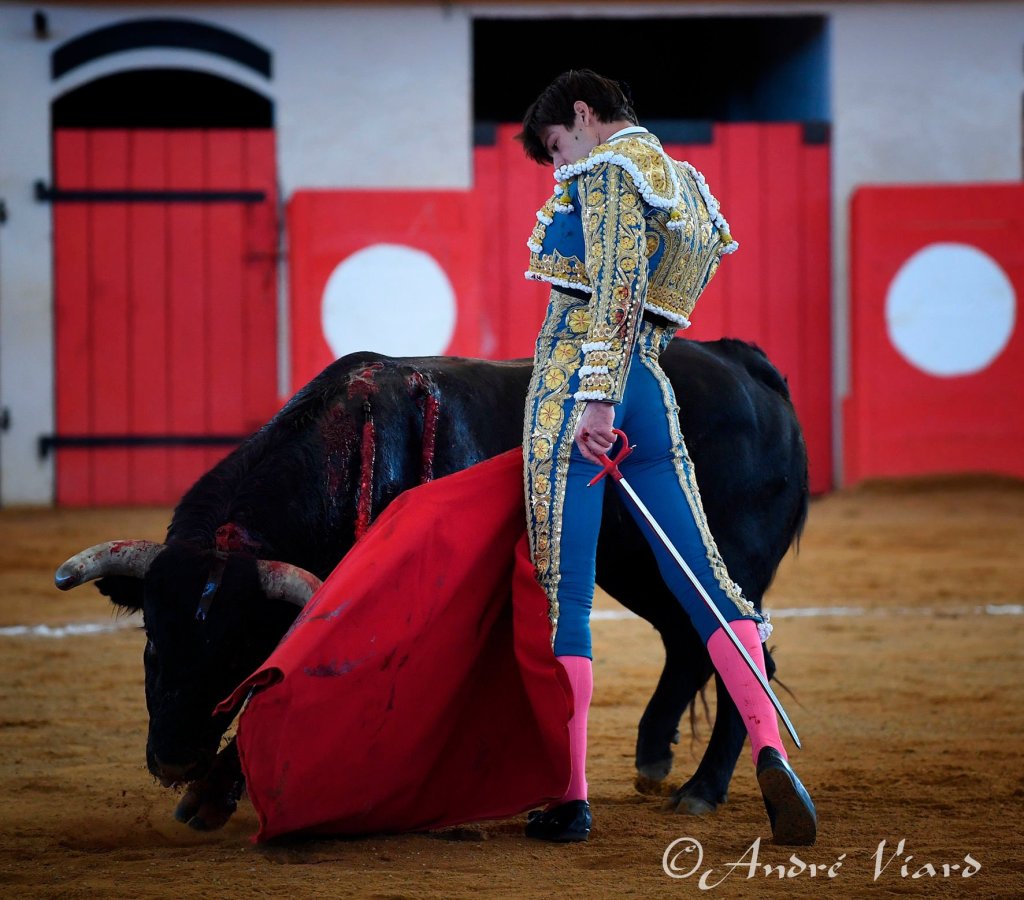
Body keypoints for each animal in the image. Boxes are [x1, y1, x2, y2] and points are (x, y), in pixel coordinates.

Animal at [55, 338, 808, 831]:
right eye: (153, 641)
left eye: (239, 652)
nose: (174, 758)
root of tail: (743, 364)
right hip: (638, 566)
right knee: (690, 643)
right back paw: (654, 761)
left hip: (716, 558)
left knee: (749, 651)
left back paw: (706, 789)